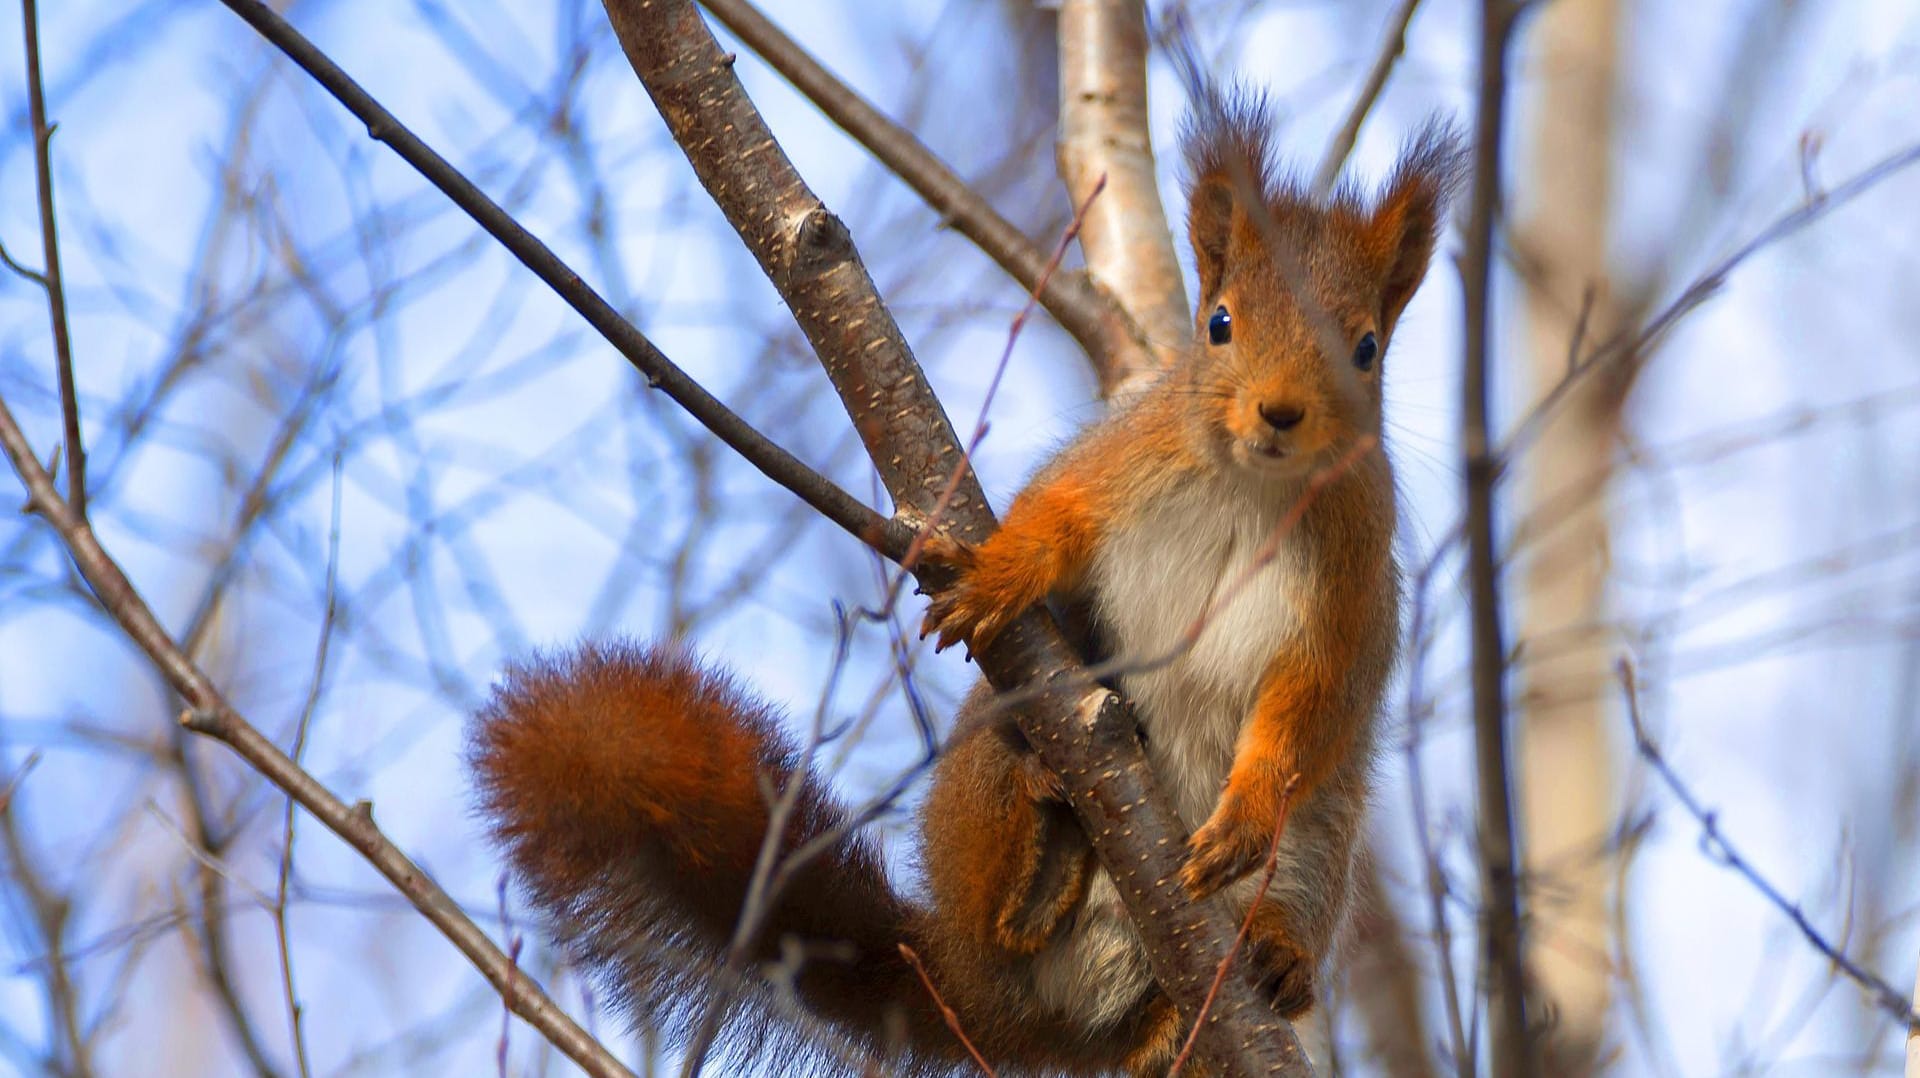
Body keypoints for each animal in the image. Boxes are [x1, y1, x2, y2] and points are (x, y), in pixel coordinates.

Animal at [472, 94, 1459, 1076]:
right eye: (1219, 323)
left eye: (1367, 348)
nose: (1281, 413)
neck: (1252, 485)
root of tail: (987, 1003)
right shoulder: (1116, 465)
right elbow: (1053, 517)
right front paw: (1006, 576)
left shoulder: (1349, 590)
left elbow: (1311, 707)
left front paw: (1244, 818)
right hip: (991, 754)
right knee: (1007, 906)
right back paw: (1039, 844)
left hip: (1319, 844)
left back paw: (1248, 974)